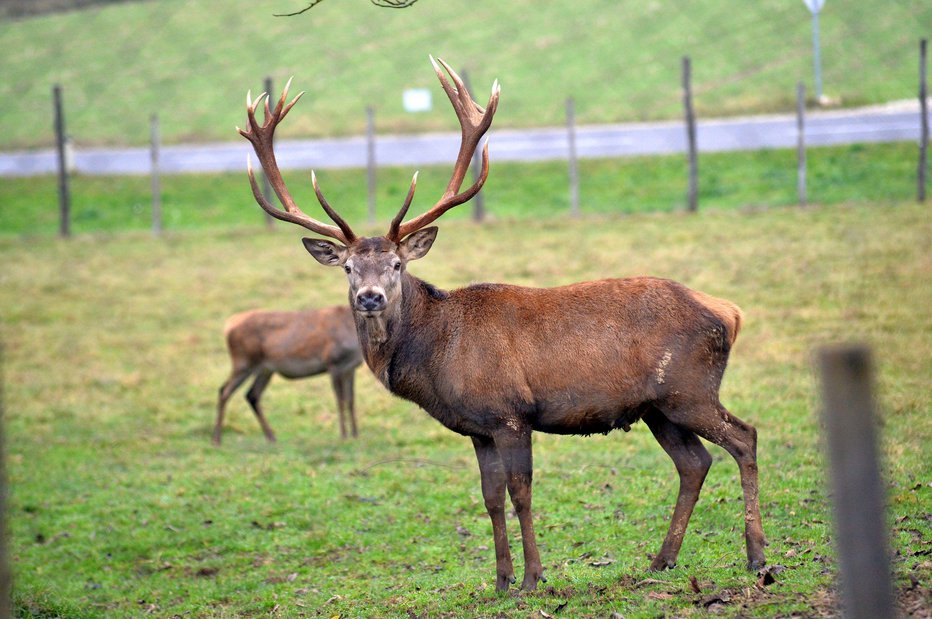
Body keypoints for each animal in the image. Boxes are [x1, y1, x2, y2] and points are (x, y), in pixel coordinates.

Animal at [213, 306, 362, 446]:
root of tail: (228, 325)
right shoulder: (333, 363)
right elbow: (340, 400)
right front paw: (344, 435)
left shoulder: (350, 368)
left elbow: (351, 400)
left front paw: (355, 435)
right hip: (243, 361)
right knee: (224, 391)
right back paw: (217, 440)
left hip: (265, 369)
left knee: (252, 394)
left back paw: (271, 437)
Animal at [237, 57, 768, 592]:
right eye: (348, 267)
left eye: (396, 264)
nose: (370, 298)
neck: (436, 353)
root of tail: (730, 312)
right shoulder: (478, 427)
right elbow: (490, 498)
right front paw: (500, 580)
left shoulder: (510, 412)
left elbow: (520, 492)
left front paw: (534, 577)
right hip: (658, 406)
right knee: (694, 462)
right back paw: (663, 560)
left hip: (689, 388)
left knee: (744, 437)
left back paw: (756, 556)